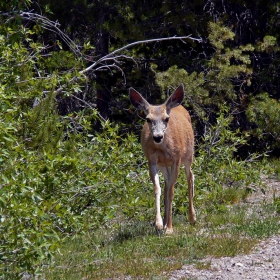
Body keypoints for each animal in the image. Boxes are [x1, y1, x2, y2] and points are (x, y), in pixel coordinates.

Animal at [130, 83, 197, 234]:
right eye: (148, 119)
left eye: (166, 118)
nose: (158, 136)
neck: (162, 148)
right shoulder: (152, 161)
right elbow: (158, 188)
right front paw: (159, 223)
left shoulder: (177, 159)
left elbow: (172, 191)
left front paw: (170, 229)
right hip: (164, 165)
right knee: (166, 184)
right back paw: (166, 222)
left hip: (188, 155)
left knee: (190, 176)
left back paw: (192, 217)